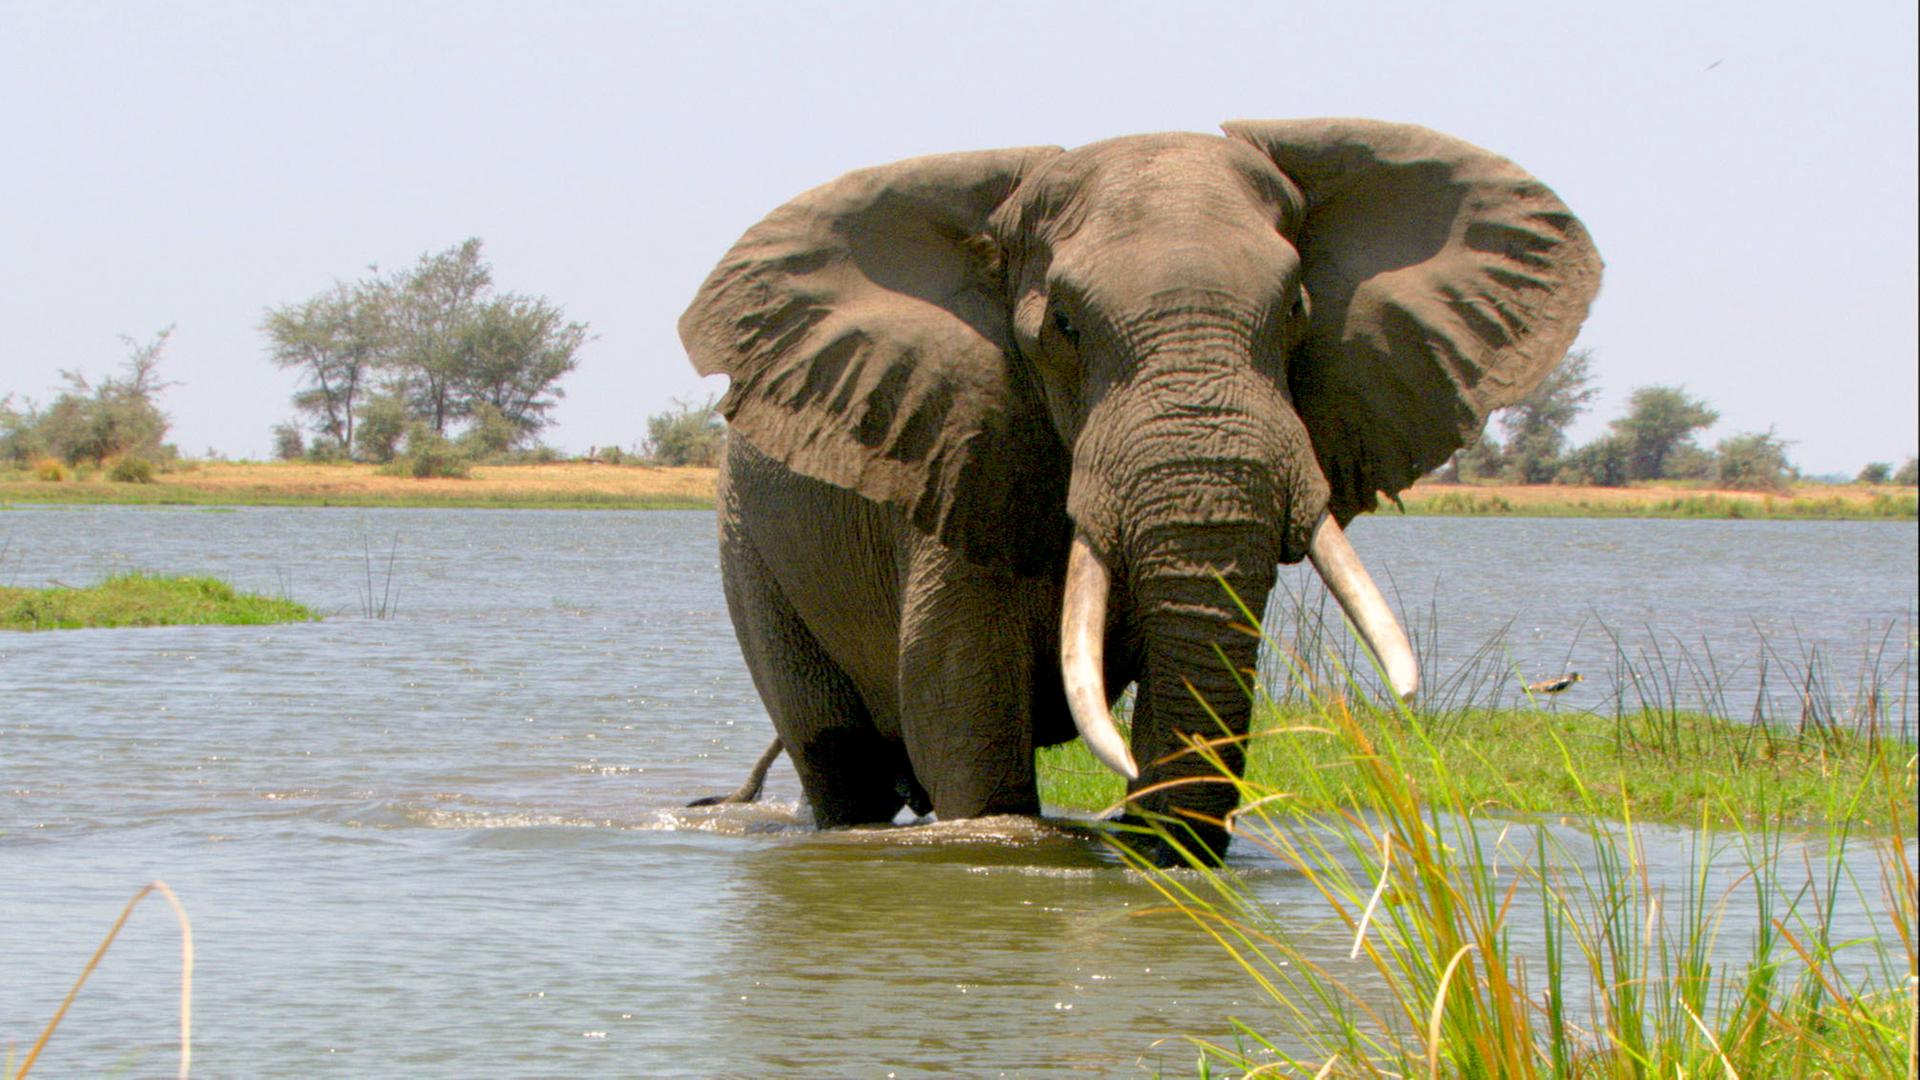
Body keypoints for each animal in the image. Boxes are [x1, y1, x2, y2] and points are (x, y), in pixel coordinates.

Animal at [680, 119, 1601, 861]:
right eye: (1064, 327)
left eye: (1297, 311)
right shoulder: (962, 446)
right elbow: (965, 734)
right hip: (748, 547)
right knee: (839, 761)